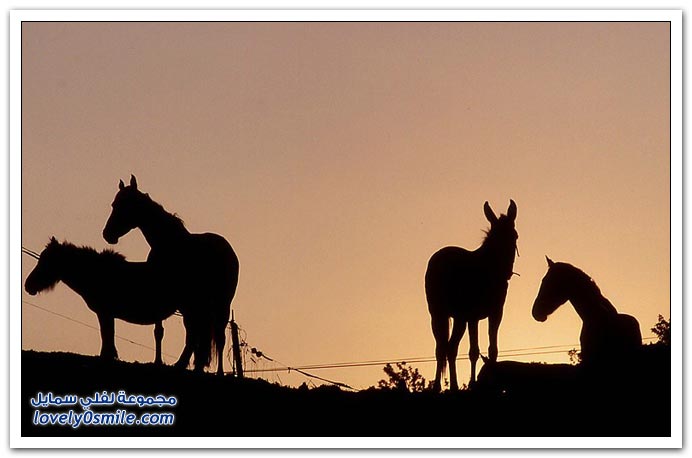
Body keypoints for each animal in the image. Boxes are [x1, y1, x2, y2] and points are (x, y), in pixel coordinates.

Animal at [24, 238, 177, 364]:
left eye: (46, 261)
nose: (28, 286)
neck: (96, 274)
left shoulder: (105, 312)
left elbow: (106, 333)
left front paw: (107, 355)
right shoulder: (107, 313)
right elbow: (108, 333)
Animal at [100, 175, 238, 376]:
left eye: (126, 204)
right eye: (114, 204)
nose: (107, 234)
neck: (169, 244)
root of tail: (227, 248)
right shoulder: (160, 293)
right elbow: (159, 331)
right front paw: (158, 361)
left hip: (220, 303)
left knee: (218, 336)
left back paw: (217, 371)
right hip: (192, 303)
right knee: (195, 332)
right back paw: (189, 364)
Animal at [424, 199, 516, 392]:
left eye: (515, 236)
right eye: (495, 238)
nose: (506, 272)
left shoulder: (496, 313)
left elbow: (493, 349)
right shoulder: (473, 316)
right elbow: (474, 351)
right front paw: (473, 384)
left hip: (457, 318)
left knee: (449, 348)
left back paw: (450, 386)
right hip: (440, 314)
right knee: (443, 348)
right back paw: (441, 386)